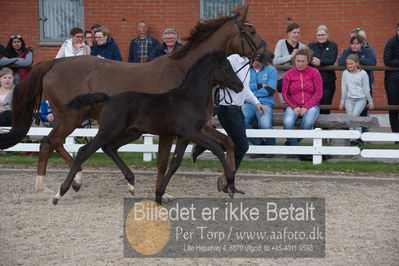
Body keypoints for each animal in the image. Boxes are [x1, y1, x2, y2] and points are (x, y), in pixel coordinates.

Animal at [54, 51, 244, 205]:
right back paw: (60, 193)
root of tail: (109, 99)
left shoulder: (184, 136)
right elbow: (217, 149)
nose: (240, 86)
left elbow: (174, 163)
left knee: (110, 148)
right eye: (226, 68)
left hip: (131, 133)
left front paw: (159, 194)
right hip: (109, 131)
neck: (190, 98)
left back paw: (131, 183)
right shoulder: (192, 133)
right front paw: (231, 183)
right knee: (84, 151)